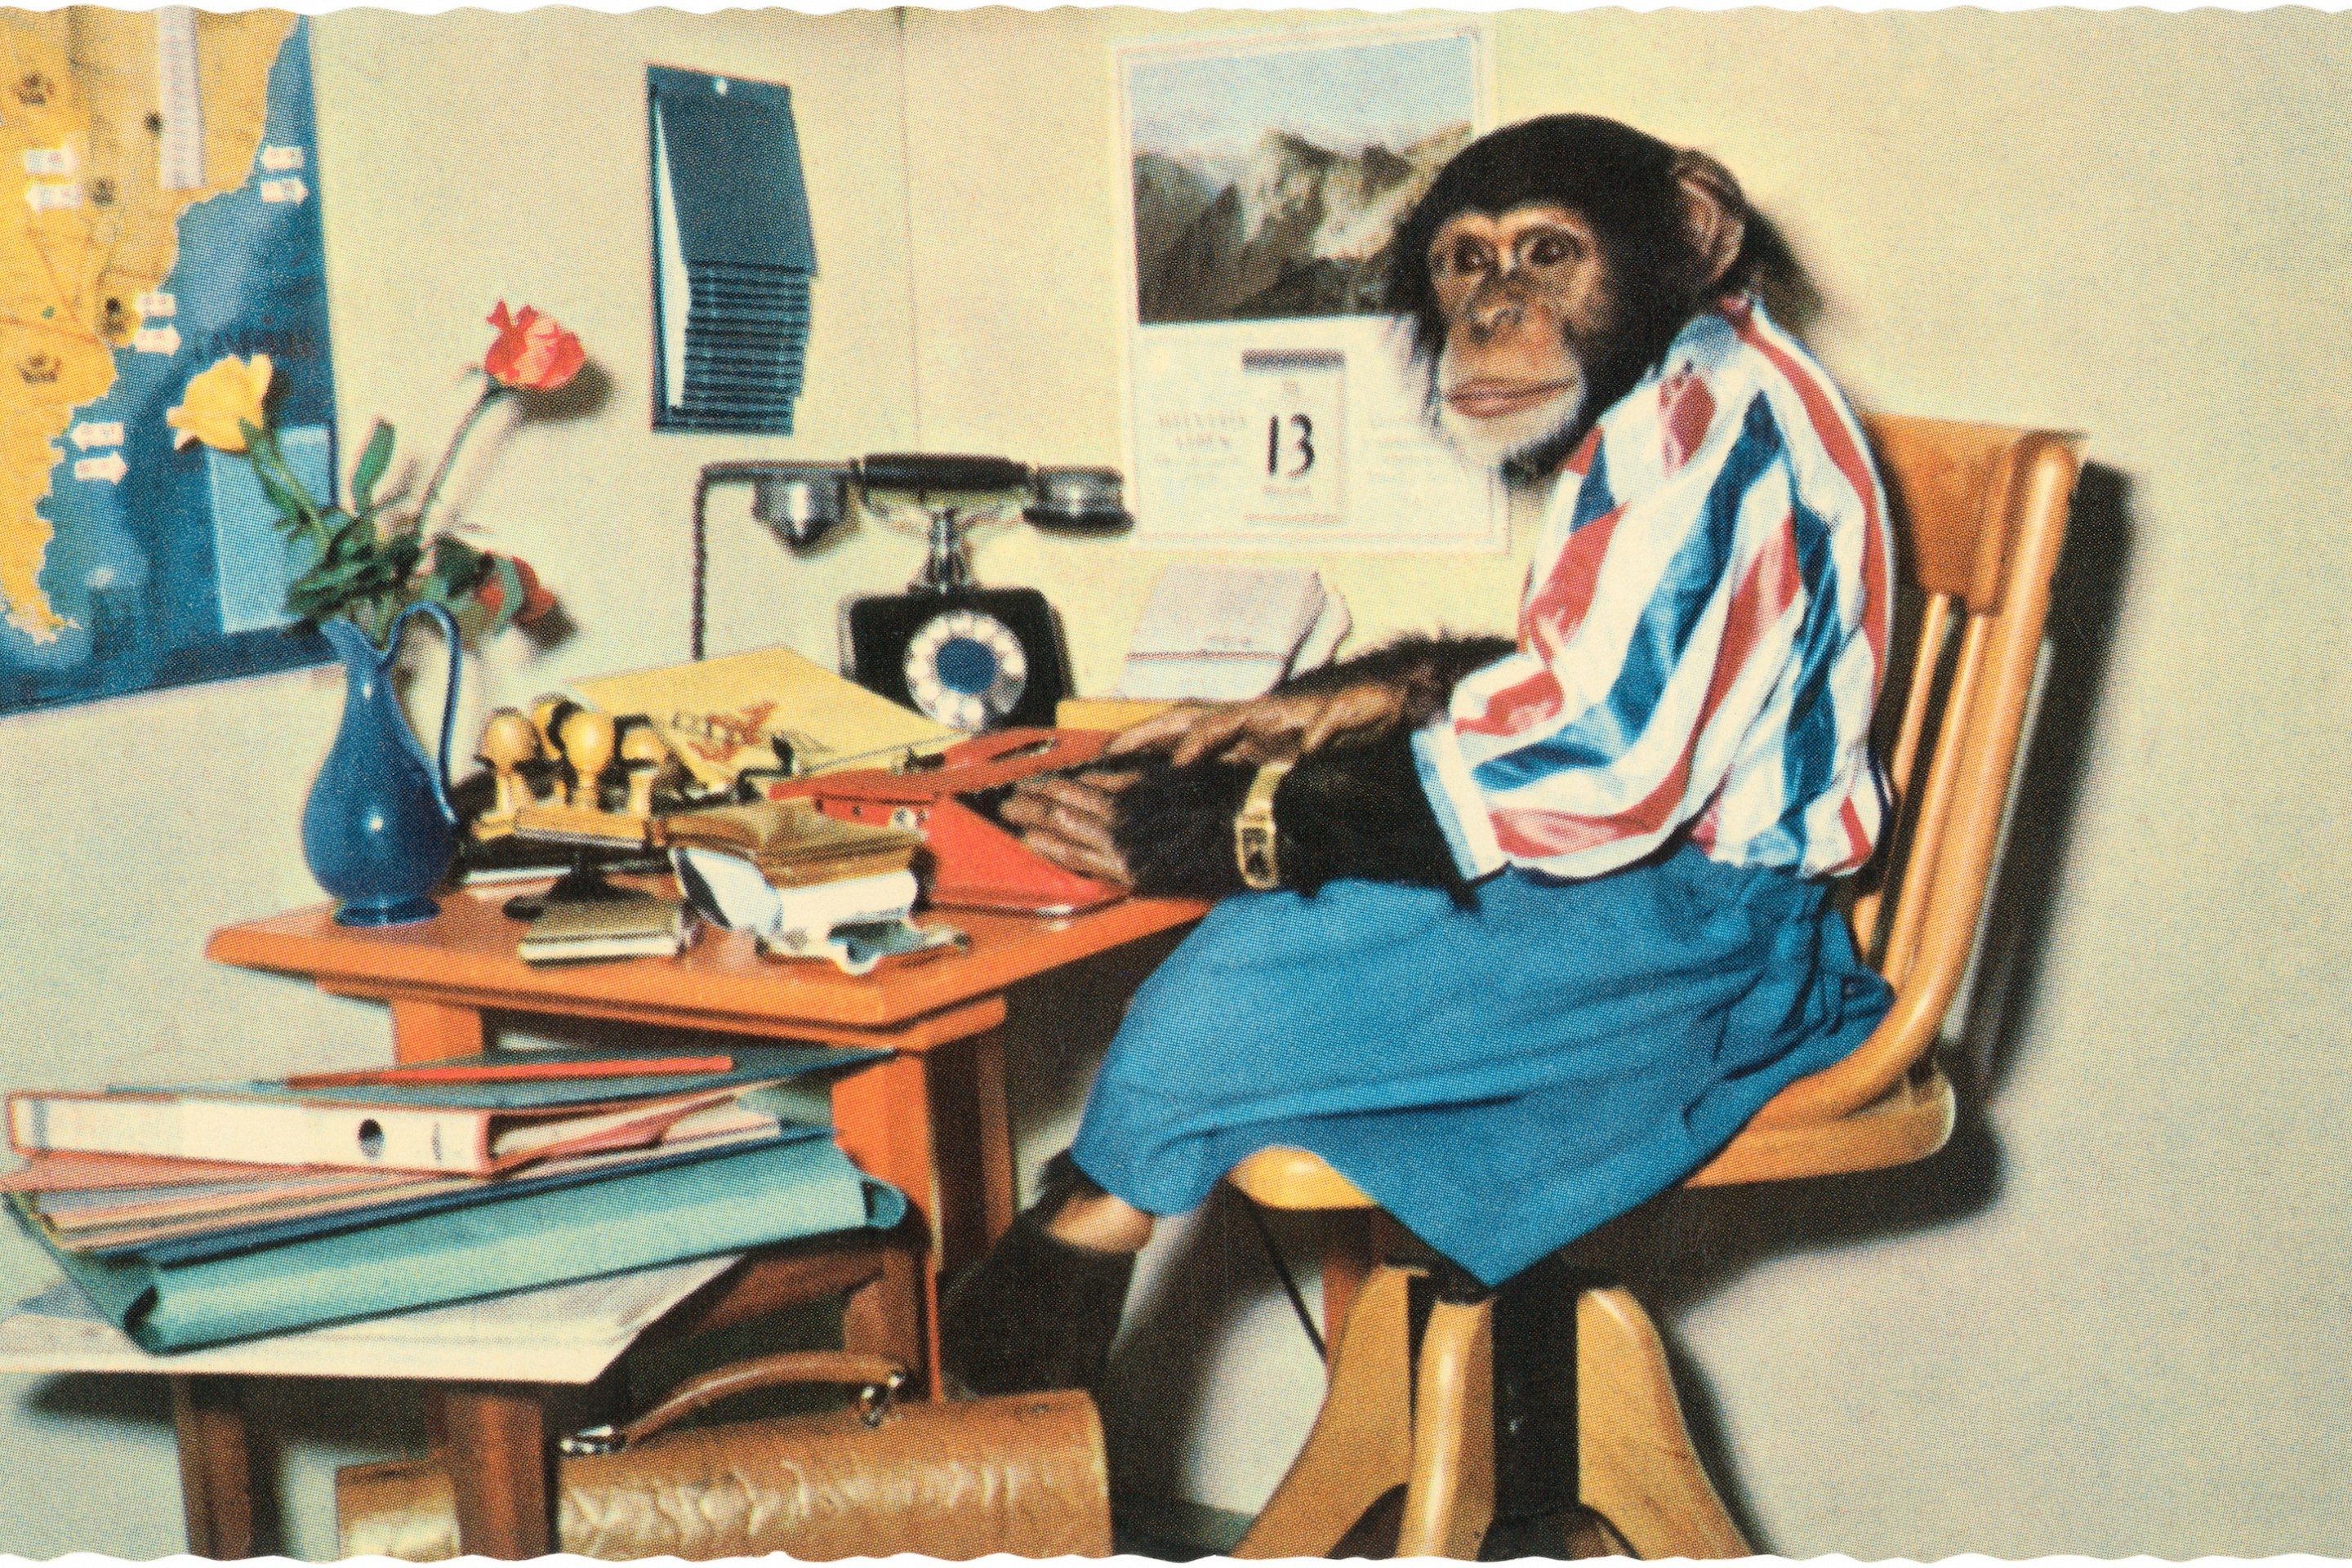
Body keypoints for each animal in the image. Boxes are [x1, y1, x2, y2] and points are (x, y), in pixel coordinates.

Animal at [936, 113, 1891, 1410]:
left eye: (1548, 250)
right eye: (1465, 261)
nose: (1492, 312)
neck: (1665, 351)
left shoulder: (1692, 475)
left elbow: (1593, 741)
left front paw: (1175, 820)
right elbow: (1507, 674)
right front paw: (1285, 713)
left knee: (1229, 1003)